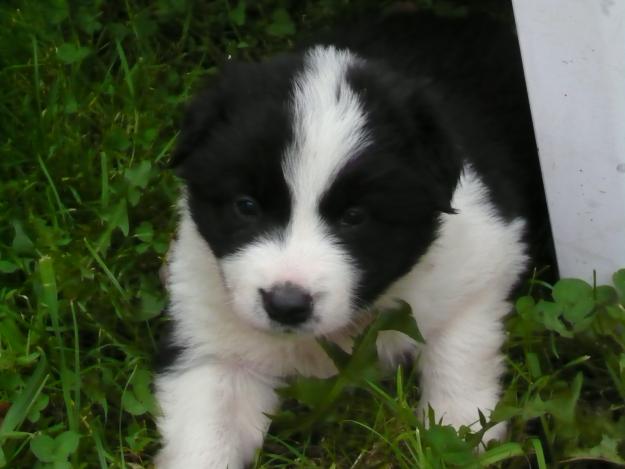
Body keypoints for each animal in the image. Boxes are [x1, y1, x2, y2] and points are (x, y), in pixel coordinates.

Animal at [155, 9, 544, 466]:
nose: (286, 305)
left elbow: (460, 349)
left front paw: (459, 431)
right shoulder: (210, 337)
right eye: (246, 206)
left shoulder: (483, 259)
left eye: (354, 217)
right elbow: (207, 430)